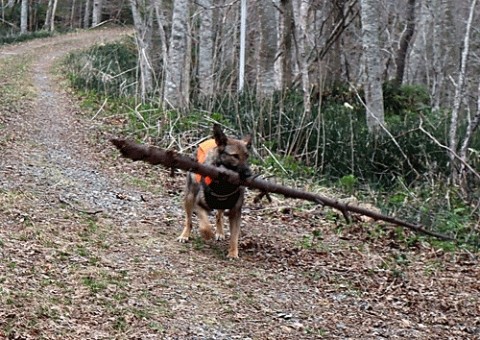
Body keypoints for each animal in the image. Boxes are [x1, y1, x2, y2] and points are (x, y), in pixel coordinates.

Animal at [176, 123, 251, 258]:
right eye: (235, 156)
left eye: (247, 156)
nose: (249, 174)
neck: (224, 185)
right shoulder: (199, 204)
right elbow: (205, 225)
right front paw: (207, 234)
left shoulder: (235, 211)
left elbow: (234, 235)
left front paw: (233, 252)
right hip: (189, 196)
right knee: (189, 220)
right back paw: (185, 235)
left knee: (218, 215)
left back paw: (220, 232)